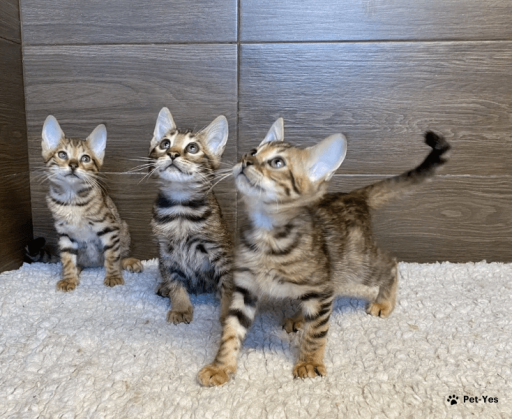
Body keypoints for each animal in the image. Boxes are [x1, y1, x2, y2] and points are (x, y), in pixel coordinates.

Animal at [41, 115, 143, 291]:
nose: (73, 165)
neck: (72, 200)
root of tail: (94, 264)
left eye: (85, 158)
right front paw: (69, 278)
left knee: (119, 255)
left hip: (123, 227)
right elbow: (67, 259)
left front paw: (113, 276)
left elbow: (112, 256)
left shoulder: (109, 228)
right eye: (62, 154)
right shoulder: (64, 233)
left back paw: (129, 262)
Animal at [149, 107, 234, 325]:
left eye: (192, 148)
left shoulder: (219, 251)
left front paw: (228, 314)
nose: (172, 153)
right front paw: (180, 307)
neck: (180, 210)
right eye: (165, 143)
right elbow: (174, 280)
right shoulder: (166, 252)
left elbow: (228, 283)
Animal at [198, 118, 450, 386]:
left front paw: (309, 362)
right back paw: (299, 317)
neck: (267, 234)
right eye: (254, 151)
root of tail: (353, 196)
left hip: (357, 265)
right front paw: (221, 367)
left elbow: (316, 333)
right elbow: (231, 332)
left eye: (277, 163)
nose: (245, 160)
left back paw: (383, 302)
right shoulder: (246, 287)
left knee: (390, 263)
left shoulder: (320, 288)